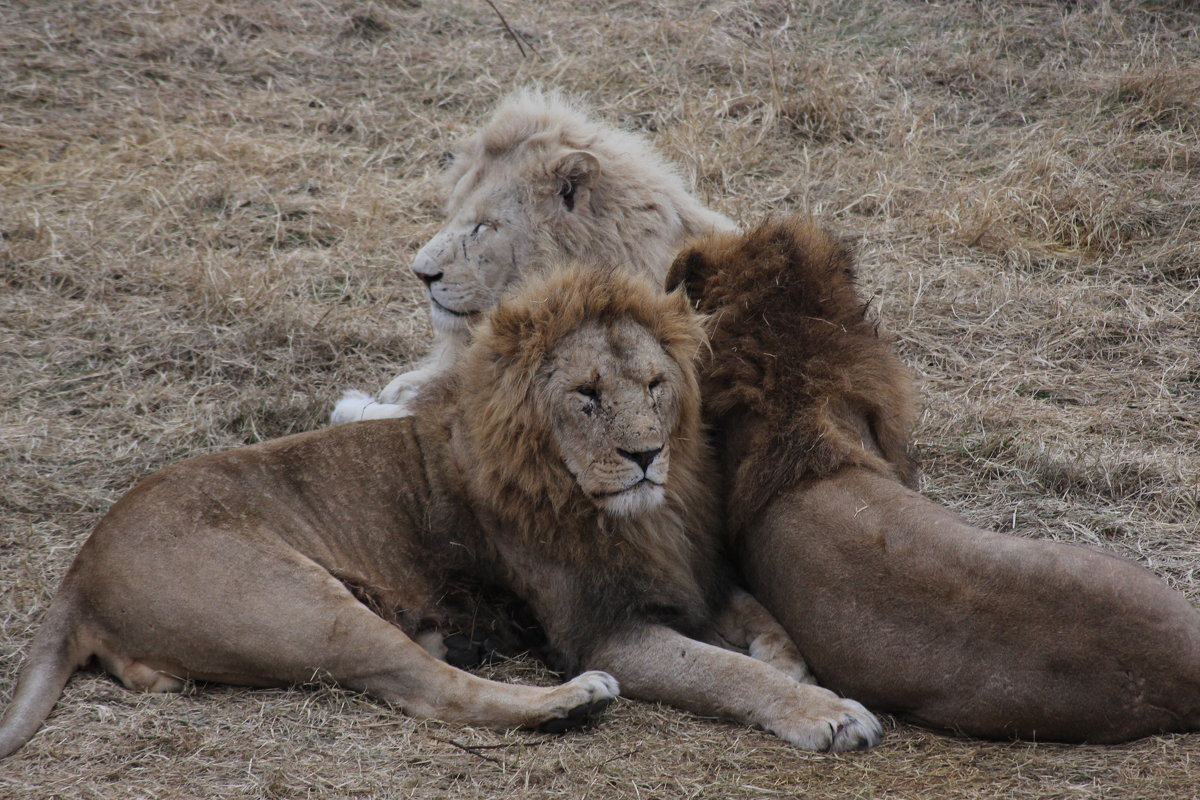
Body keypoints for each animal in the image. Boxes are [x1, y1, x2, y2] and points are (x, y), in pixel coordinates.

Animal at [0, 267, 883, 758]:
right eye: (587, 395)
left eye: (656, 386)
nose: (645, 455)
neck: (631, 512)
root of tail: (80, 568)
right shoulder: (606, 630)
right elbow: (726, 671)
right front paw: (827, 713)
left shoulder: (690, 578)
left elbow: (763, 620)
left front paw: (796, 667)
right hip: (301, 605)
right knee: (435, 691)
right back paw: (572, 703)